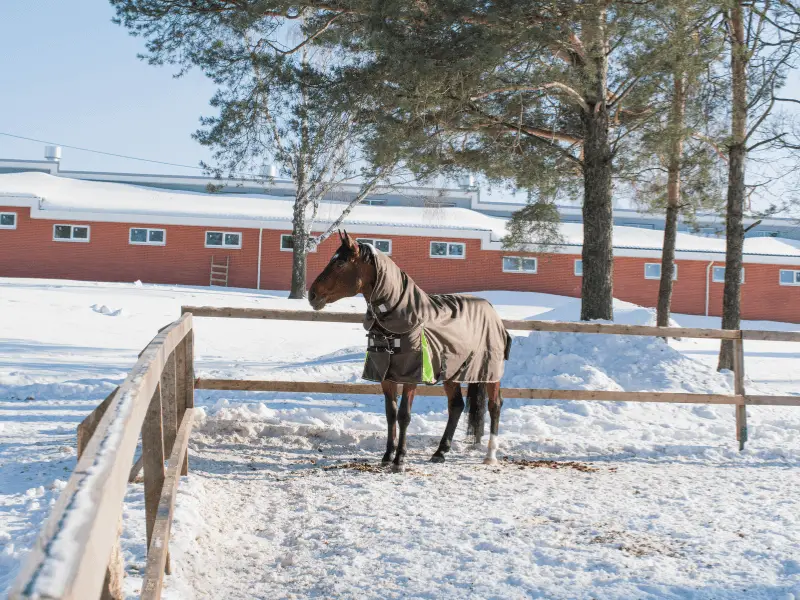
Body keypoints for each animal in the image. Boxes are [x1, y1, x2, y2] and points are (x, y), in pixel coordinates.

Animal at [310, 232, 510, 472]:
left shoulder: (411, 377)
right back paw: (440, 452)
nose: (312, 295)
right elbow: (391, 414)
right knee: (456, 406)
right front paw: (387, 456)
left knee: (494, 405)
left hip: (489, 373)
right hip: (452, 373)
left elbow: (404, 415)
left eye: (340, 262)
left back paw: (490, 455)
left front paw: (400, 460)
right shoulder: (386, 377)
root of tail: (492, 311)